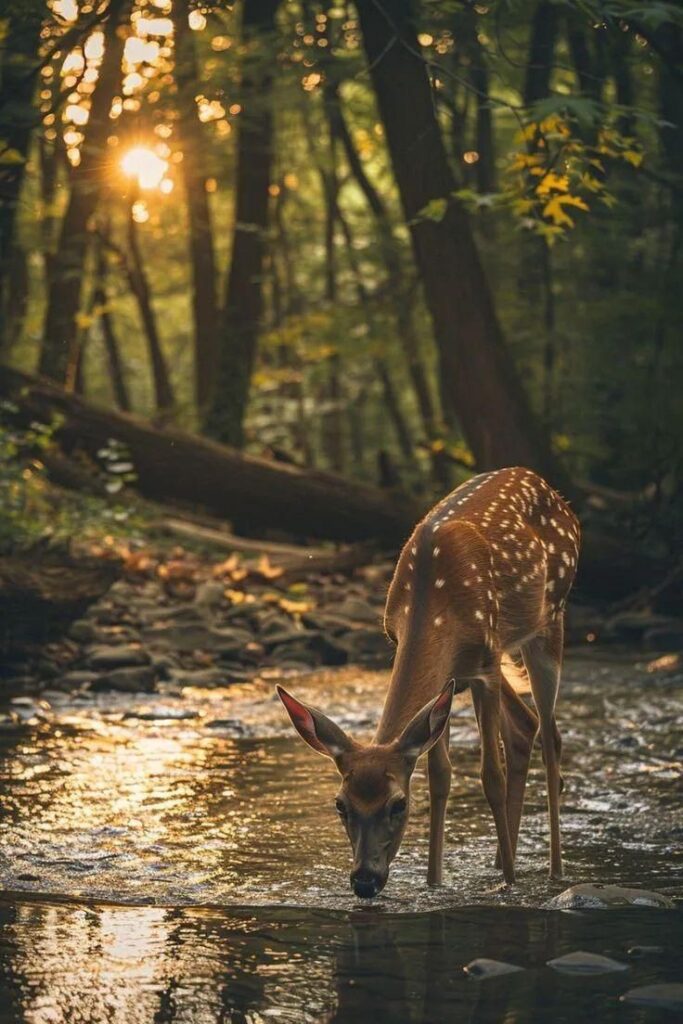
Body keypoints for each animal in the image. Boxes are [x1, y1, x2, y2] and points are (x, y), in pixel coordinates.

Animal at [278, 468, 581, 901]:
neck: (436, 604)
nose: (364, 881)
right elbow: (441, 776)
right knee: (525, 726)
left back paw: (553, 871)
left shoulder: (487, 664)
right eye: (340, 804)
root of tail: (545, 485)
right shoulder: (449, 679)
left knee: (551, 738)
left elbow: (491, 776)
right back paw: (500, 860)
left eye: (399, 804)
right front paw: (435, 883)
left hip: (550, 620)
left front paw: (509, 886)